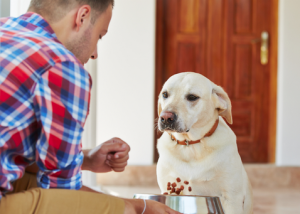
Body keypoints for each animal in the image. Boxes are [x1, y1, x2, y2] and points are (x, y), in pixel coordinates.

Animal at [157, 72, 253, 214]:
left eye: (192, 97)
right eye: (165, 94)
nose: (165, 117)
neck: (191, 144)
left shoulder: (232, 197)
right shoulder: (168, 189)